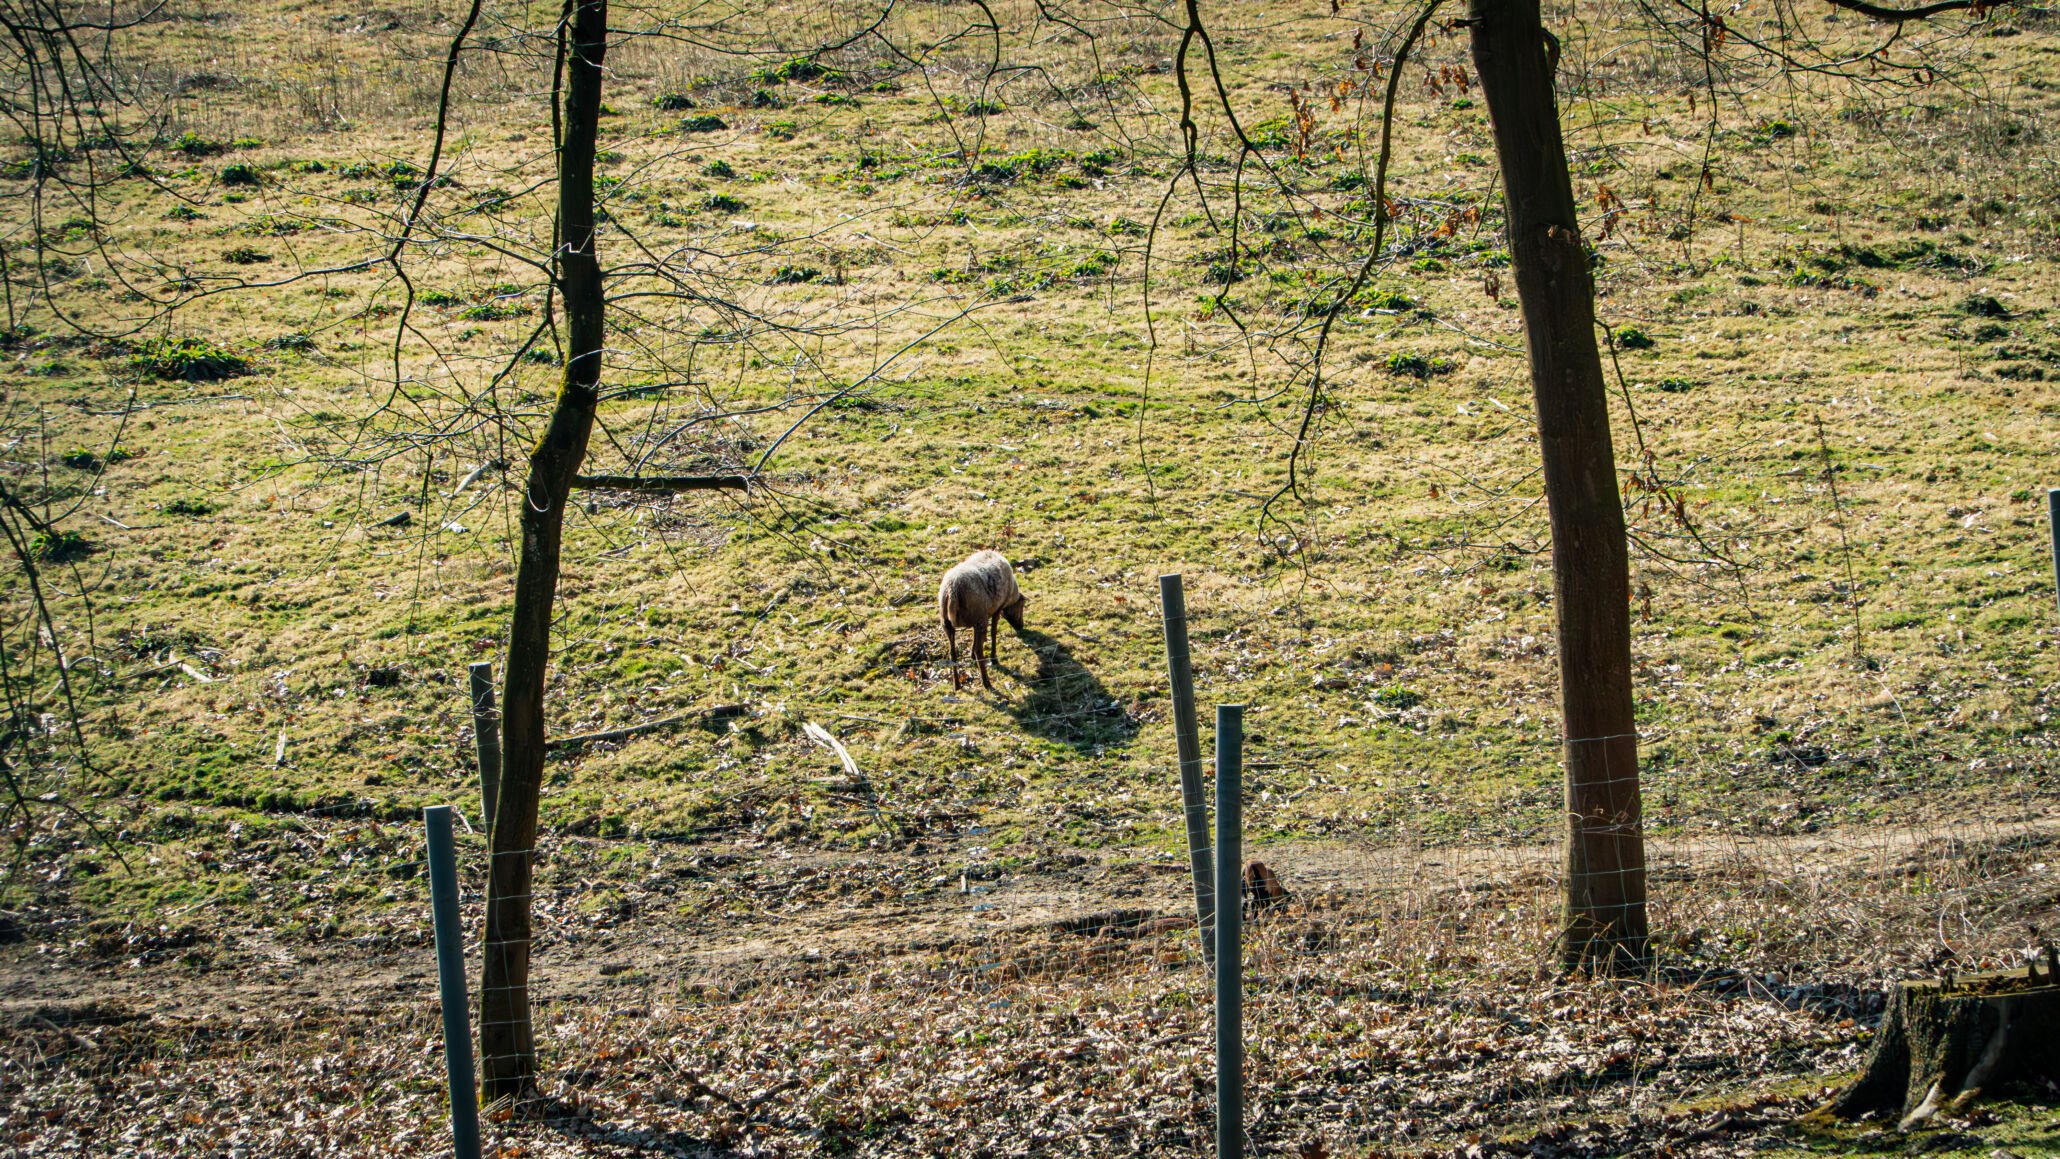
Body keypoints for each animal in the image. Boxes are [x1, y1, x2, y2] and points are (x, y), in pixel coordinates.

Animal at [938, 549, 1027, 691]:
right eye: (1022, 606)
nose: (1021, 627)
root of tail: (952, 591)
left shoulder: (976, 620)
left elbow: (974, 639)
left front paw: (971, 656)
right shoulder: (997, 610)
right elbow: (993, 632)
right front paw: (993, 658)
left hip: (947, 623)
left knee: (952, 653)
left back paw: (956, 684)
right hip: (980, 618)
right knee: (979, 651)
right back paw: (986, 682)